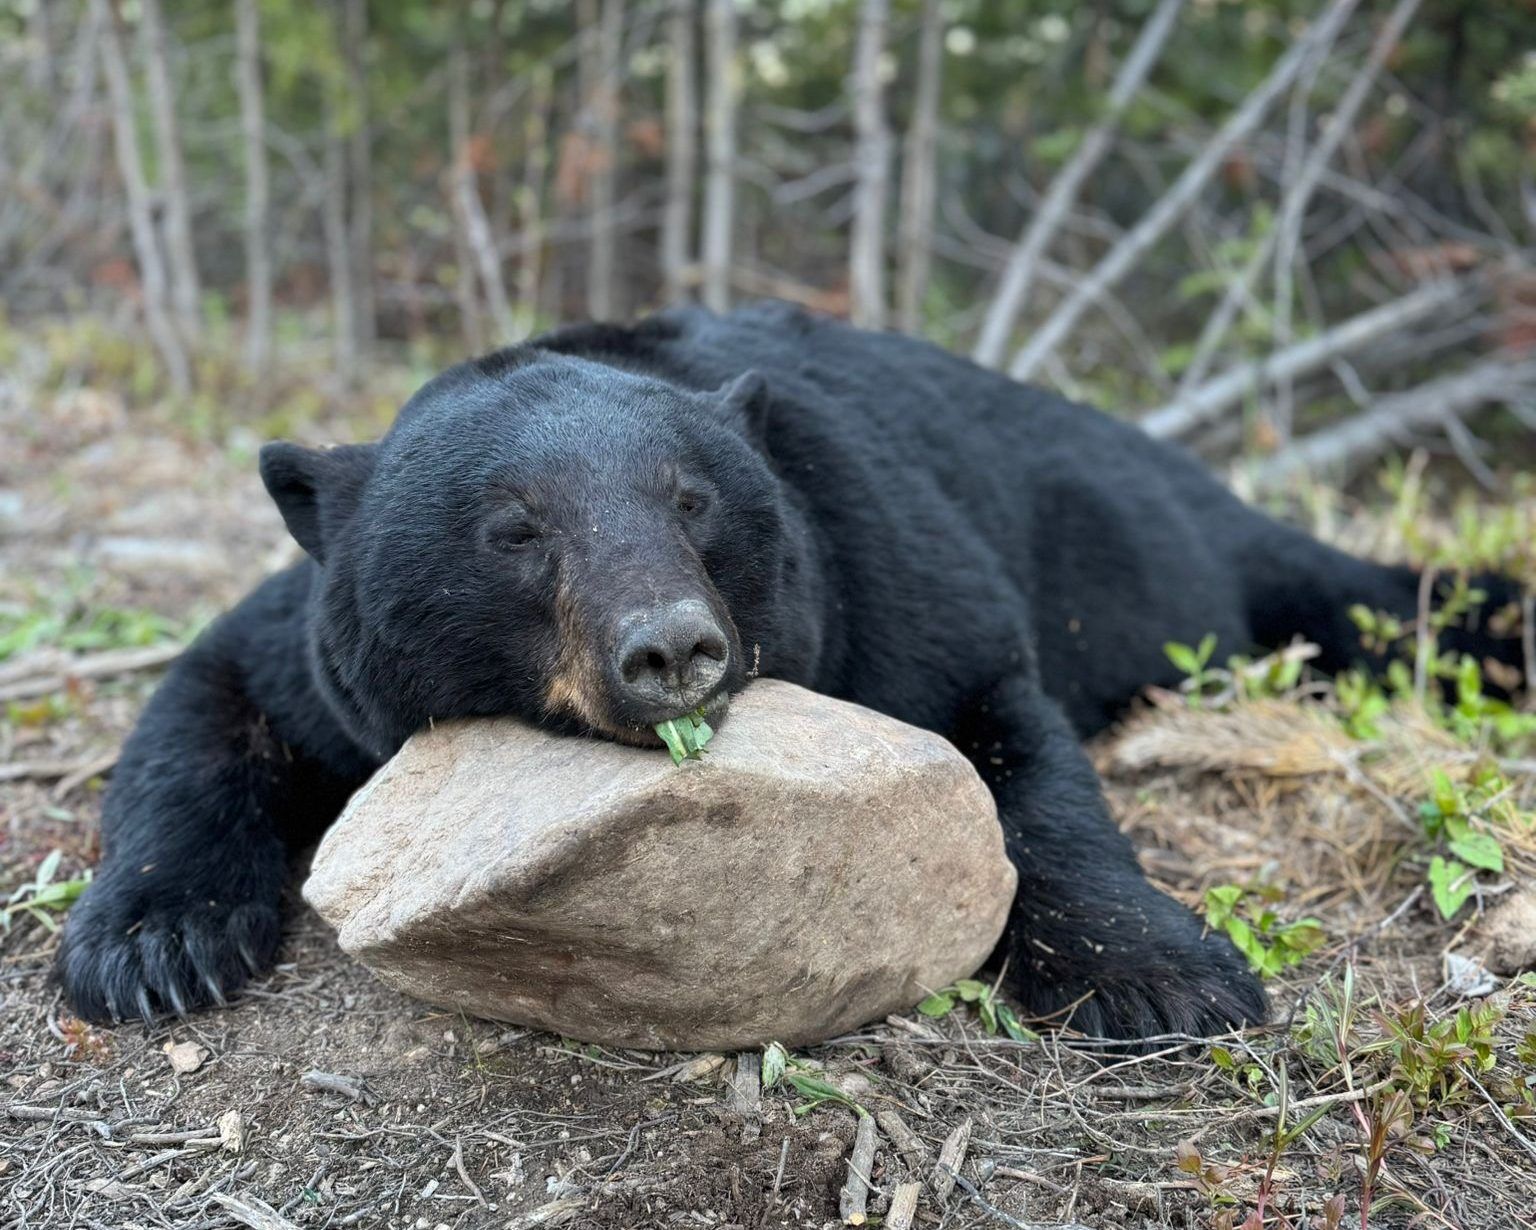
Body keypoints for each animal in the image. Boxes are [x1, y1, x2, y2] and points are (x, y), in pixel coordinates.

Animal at [56, 301, 1528, 1040]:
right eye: (514, 529)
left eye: (694, 498)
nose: (670, 645)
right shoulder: (313, 649)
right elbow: (211, 702)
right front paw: (151, 945)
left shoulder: (884, 559)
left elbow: (1008, 738)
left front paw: (1163, 975)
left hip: (1160, 548)